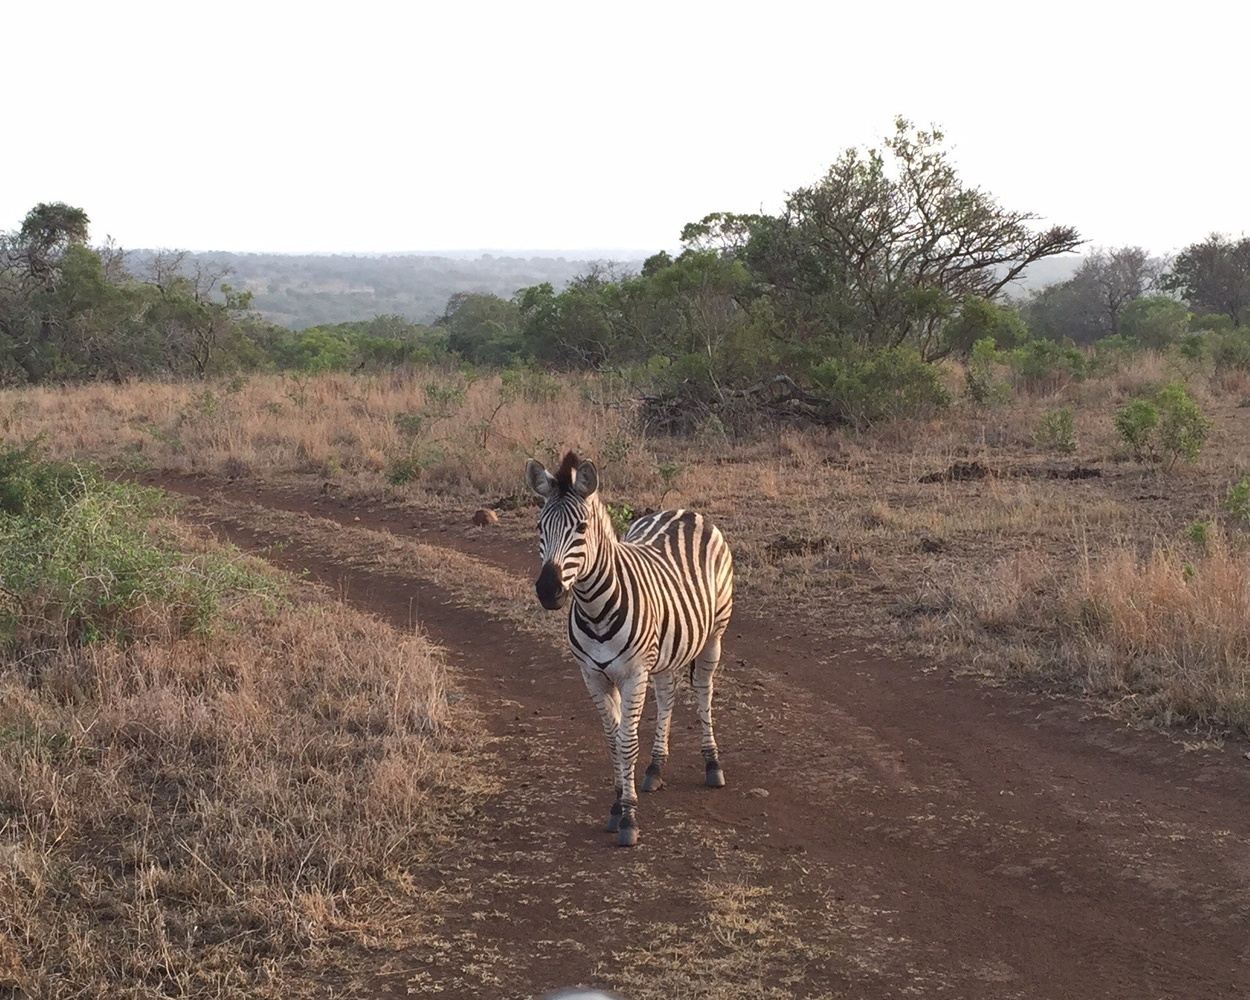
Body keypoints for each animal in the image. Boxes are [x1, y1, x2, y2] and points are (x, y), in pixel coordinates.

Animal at [525, 450, 735, 850]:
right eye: (540, 528)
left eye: (581, 529)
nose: (548, 591)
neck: (594, 608)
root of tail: (683, 511)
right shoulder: (593, 675)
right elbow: (612, 741)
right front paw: (616, 805)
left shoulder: (633, 673)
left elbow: (626, 743)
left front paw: (629, 818)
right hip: (668, 646)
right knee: (667, 695)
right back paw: (655, 767)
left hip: (715, 633)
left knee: (703, 692)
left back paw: (713, 764)